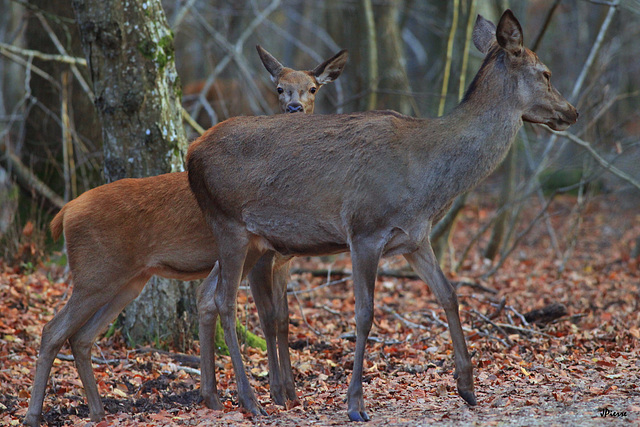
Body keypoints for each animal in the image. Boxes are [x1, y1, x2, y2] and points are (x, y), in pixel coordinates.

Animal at [22, 46, 348, 427]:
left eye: (312, 88)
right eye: (280, 88)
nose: (294, 108)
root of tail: (64, 214)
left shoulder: (284, 259)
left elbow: (282, 318)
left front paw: (288, 394)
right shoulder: (263, 256)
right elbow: (266, 317)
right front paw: (278, 394)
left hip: (128, 280)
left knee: (82, 337)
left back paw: (98, 410)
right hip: (95, 272)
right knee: (53, 331)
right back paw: (33, 415)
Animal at [186, 9, 580, 422]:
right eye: (546, 73)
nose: (572, 111)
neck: (427, 178)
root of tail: (190, 153)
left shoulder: (414, 238)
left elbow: (449, 294)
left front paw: (468, 387)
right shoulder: (365, 229)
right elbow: (365, 314)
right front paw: (356, 404)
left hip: (252, 240)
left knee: (207, 292)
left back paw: (213, 395)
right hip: (228, 222)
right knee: (226, 300)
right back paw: (249, 399)